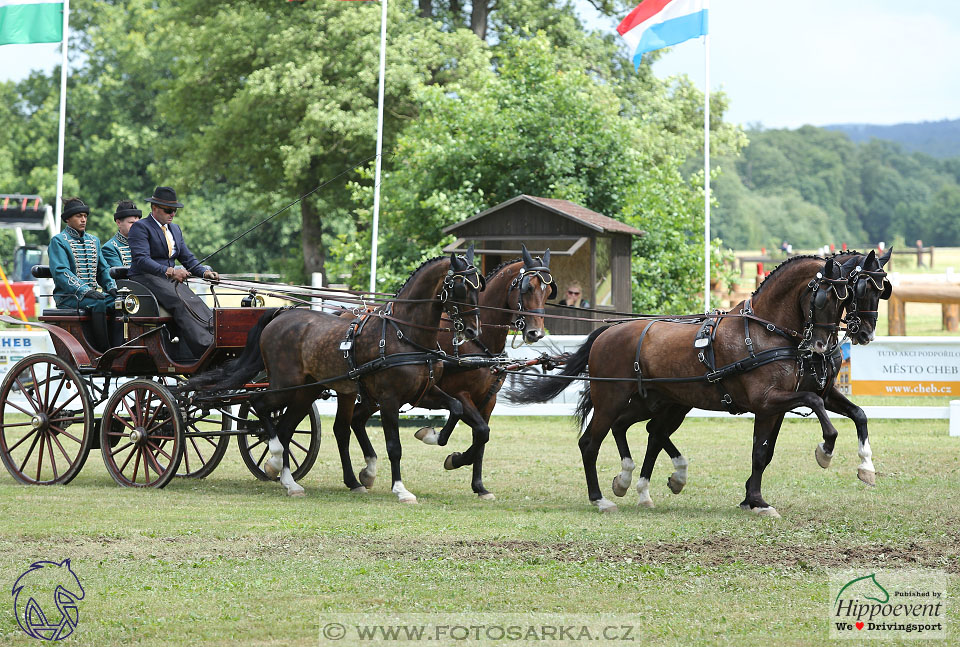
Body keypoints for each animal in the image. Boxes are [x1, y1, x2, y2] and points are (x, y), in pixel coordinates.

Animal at [186, 248, 488, 502]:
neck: (403, 334)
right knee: (260, 407)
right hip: (285, 385)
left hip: (305, 391)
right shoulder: (389, 399)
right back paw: (275, 458)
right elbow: (394, 446)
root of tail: (281, 314)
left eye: (480, 286)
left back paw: (290, 482)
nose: (473, 331)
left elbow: (456, 407)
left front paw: (433, 438)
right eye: (460, 287)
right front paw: (401, 490)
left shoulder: (424, 391)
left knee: (285, 428)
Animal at [350, 243, 556, 502]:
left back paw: (366, 473)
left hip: (372, 396)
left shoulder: (488, 401)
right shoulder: (461, 395)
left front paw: (479, 487)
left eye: (548, 291)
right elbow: (480, 431)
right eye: (528, 288)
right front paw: (450, 455)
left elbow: (482, 439)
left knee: (356, 420)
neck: (478, 344)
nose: (535, 333)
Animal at [510, 256, 848, 520]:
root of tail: (607, 332)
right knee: (590, 443)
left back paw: (634, 481)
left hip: (654, 401)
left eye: (843, 301)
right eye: (823, 298)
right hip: (611, 399)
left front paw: (755, 500)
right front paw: (825, 450)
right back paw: (601, 499)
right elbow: (810, 405)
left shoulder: (774, 405)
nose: (822, 345)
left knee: (639, 429)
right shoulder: (767, 400)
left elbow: (764, 450)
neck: (762, 331)